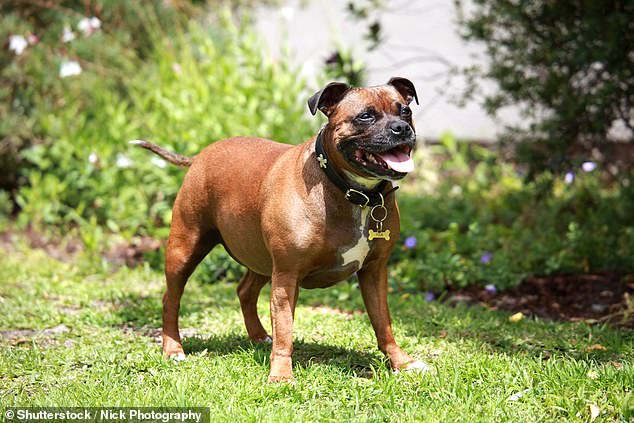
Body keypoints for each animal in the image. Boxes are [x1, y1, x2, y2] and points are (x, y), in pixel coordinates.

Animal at [134, 78, 430, 382]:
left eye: (405, 110)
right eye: (366, 116)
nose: (401, 128)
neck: (351, 192)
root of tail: (200, 156)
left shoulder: (374, 271)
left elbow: (384, 323)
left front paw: (402, 362)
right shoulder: (287, 276)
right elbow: (285, 330)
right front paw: (281, 375)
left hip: (260, 257)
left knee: (245, 291)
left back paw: (258, 336)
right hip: (184, 249)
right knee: (171, 299)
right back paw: (173, 349)